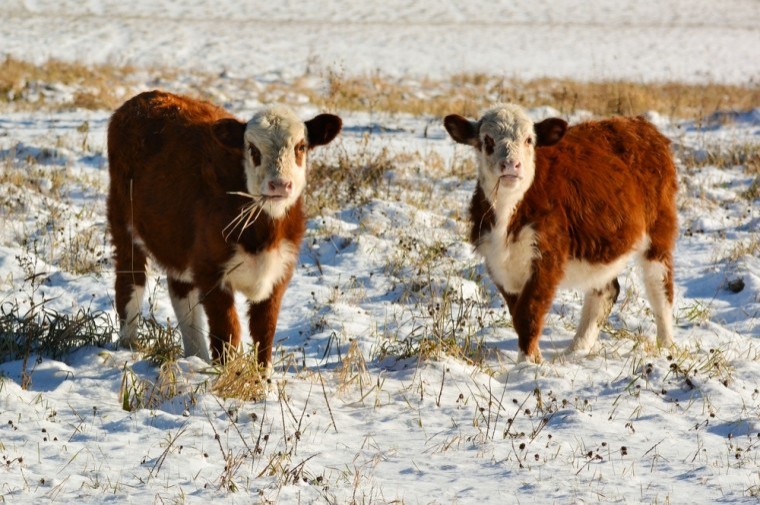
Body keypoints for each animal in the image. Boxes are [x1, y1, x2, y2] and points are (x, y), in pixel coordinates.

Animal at [107, 89, 342, 370]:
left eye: (301, 147)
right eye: (252, 149)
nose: (279, 185)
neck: (263, 233)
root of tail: (145, 97)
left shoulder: (278, 272)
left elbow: (265, 332)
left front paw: (263, 377)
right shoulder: (211, 272)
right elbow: (227, 332)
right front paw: (226, 374)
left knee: (182, 294)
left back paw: (195, 356)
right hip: (122, 222)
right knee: (130, 281)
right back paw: (128, 346)